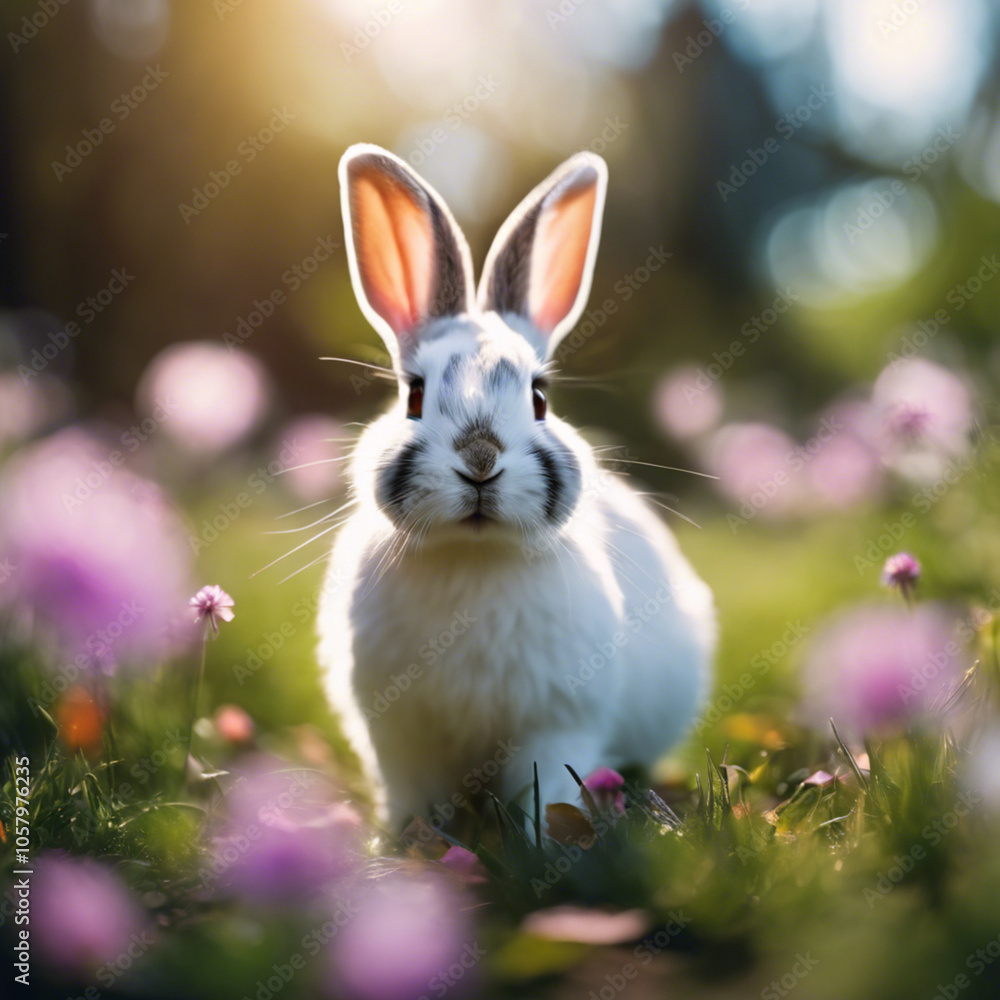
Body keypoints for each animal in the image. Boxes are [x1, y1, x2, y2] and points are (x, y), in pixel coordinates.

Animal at [317, 143, 716, 830]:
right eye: (413, 396)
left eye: (539, 398)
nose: (480, 459)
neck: (474, 556)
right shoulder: (397, 735)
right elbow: (411, 790)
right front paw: (403, 839)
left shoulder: (558, 725)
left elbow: (545, 787)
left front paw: (544, 839)